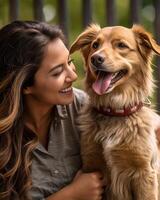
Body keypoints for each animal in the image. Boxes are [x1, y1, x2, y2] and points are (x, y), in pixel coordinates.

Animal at [70, 25, 160, 200]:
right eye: (95, 45)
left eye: (121, 45)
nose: (95, 59)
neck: (115, 110)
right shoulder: (91, 166)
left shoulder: (144, 174)